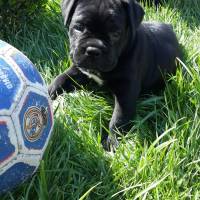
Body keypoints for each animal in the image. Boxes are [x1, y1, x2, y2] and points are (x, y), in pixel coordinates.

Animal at [49, 0, 180, 150]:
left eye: (115, 33)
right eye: (79, 27)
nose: (93, 50)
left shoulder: (126, 93)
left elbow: (118, 120)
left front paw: (112, 143)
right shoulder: (79, 69)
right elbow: (63, 77)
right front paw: (49, 91)